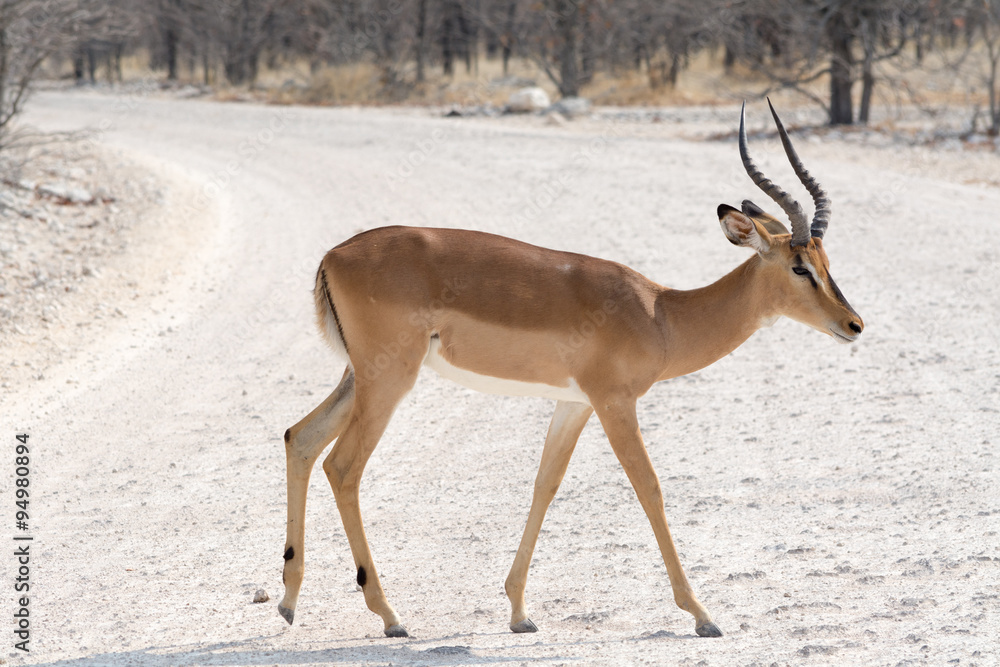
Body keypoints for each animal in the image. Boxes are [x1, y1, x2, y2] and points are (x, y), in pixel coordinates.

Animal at [278, 101, 863, 639]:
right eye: (799, 267)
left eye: (827, 263)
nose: (854, 324)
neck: (662, 314)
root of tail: (333, 256)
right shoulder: (614, 402)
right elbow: (649, 487)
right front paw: (702, 615)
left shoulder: (573, 403)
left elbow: (545, 484)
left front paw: (519, 612)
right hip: (390, 379)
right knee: (343, 466)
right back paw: (390, 616)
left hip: (361, 377)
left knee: (300, 437)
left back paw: (288, 601)